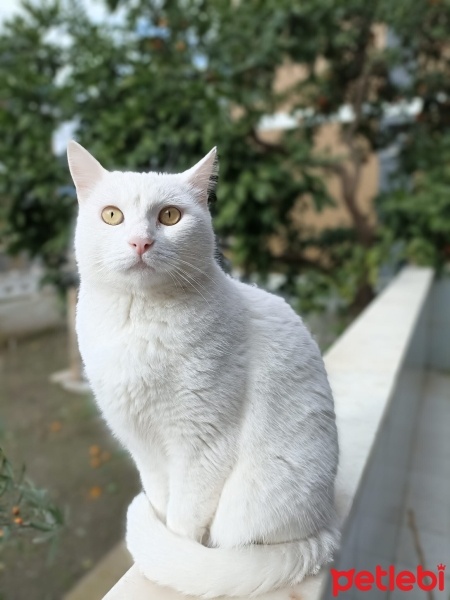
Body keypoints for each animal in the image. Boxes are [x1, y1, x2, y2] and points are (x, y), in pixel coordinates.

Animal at [68, 141, 340, 596]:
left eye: (169, 216)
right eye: (112, 215)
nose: (141, 242)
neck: (138, 322)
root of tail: (326, 531)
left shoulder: (203, 443)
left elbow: (183, 519)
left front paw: (172, 556)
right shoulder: (142, 445)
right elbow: (161, 500)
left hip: (251, 502)